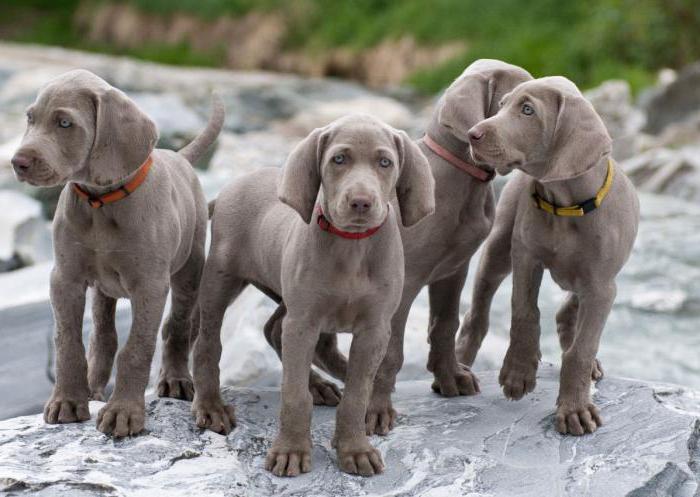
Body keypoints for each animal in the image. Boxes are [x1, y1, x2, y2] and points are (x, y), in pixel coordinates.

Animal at [10, 69, 221, 434]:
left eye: (64, 123)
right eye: (30, 119)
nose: (17, 163)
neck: (100, 202)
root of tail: (178, 157)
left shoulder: (150, 285)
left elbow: (137, 347)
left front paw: (123, 411)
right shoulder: (65, 278)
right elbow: (68, 342)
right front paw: (67, 401)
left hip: (189, 270)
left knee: (177, 327)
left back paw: (176, 380)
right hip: (103, 287)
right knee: (104, 335)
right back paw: (93, 388)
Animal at [190, 114, 432, 474]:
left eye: (385, 162)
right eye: (339, 159)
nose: (361, 202)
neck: (352, 246)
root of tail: (231, 187)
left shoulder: (374, 329)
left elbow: (357, 394)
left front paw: (355, 449)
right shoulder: (303, 322)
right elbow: (293, 393)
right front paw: (290, 450)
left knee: (274, 329)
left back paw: (321, 384)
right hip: (222, 280)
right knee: (208, 343)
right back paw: (212, 406)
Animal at [454, 74, 640, 434]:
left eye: (527, 110)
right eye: (502, 105)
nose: (473, 134)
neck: (565, 204)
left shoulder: (602, 286)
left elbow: (582, 348)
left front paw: (574, 409)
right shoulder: (525, 255)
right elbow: (524, 312)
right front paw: (518, 372)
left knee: (569, 313)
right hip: (498, 249)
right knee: (477, 313)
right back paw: (458, 366)